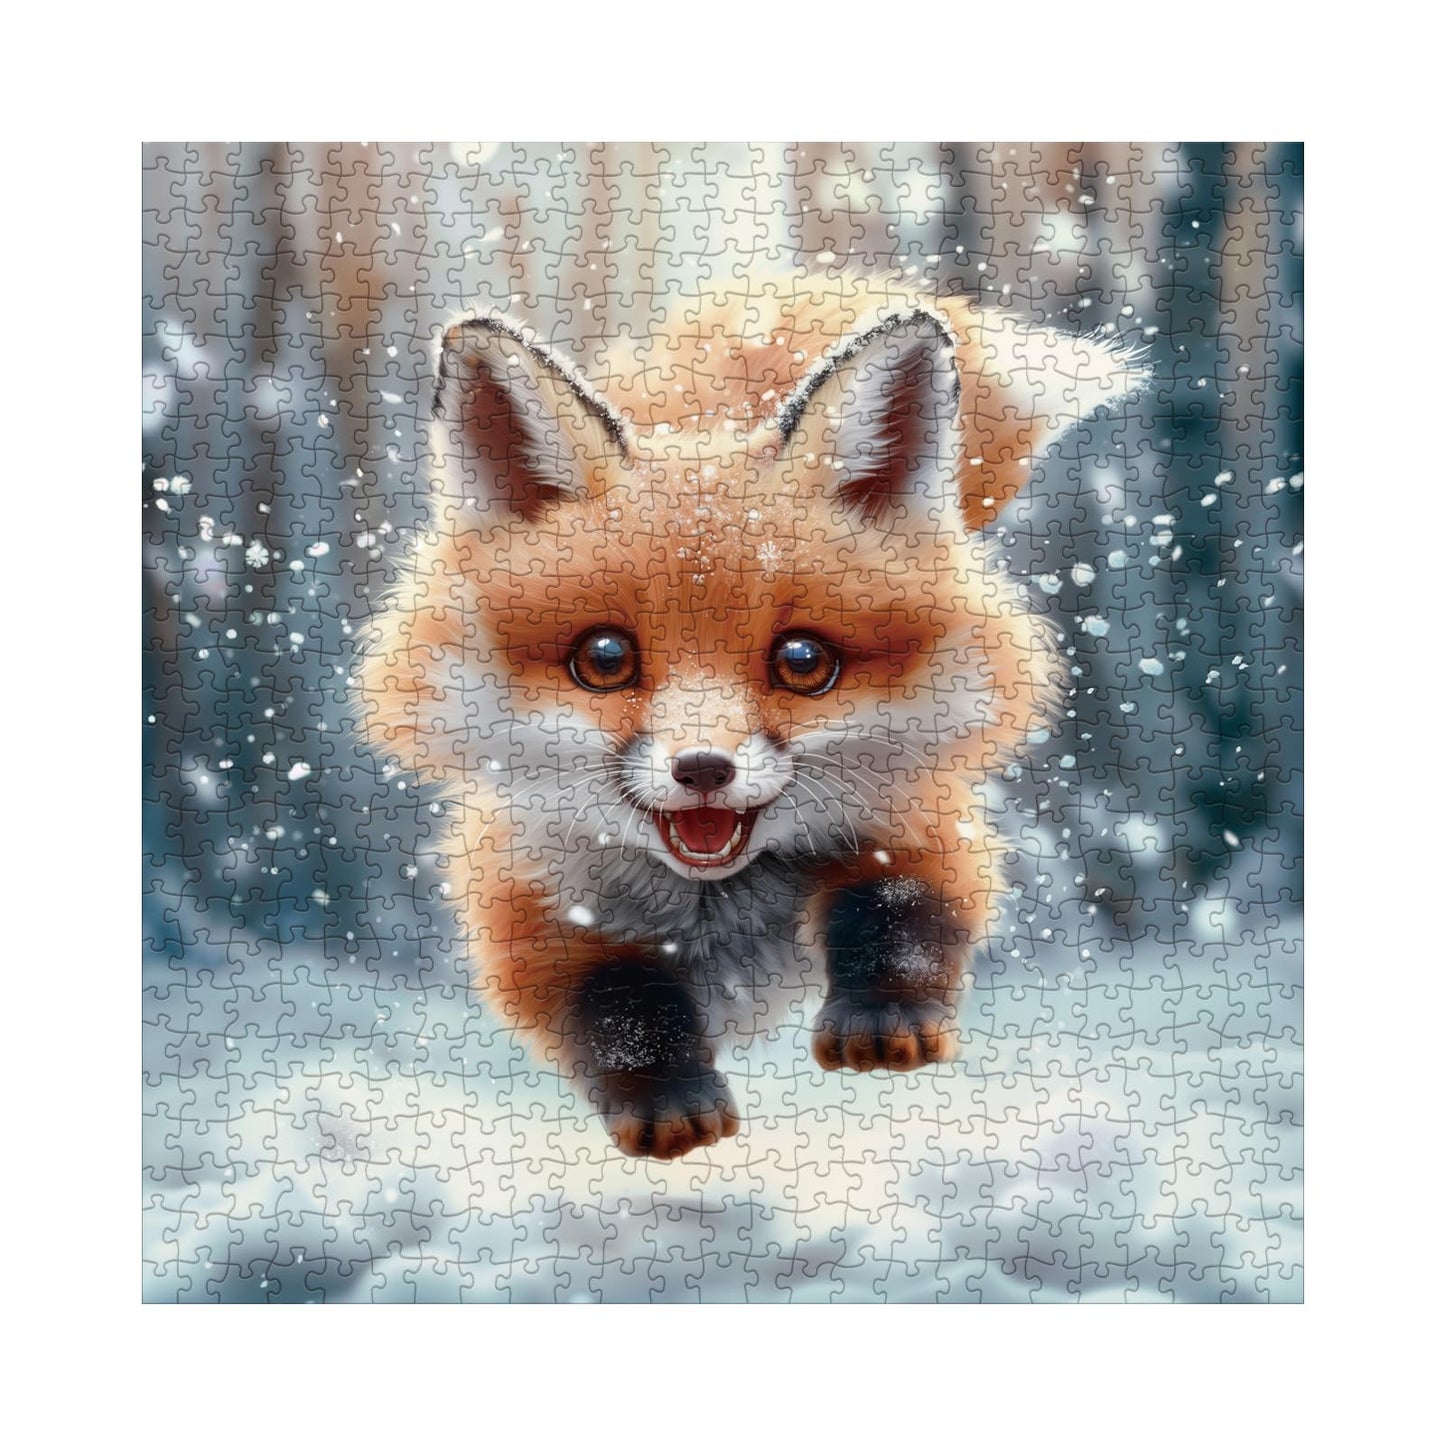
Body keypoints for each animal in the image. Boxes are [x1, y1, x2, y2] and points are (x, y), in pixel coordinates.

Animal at [358, 273, 1146, 1159]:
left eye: (802, 661)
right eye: (604, 657)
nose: (704, 767)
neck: (713, 911)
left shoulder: (921, 807)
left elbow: (901, 908)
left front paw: (883, 1017)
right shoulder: (522, 897)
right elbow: (615, 1003)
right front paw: (665, 1101)